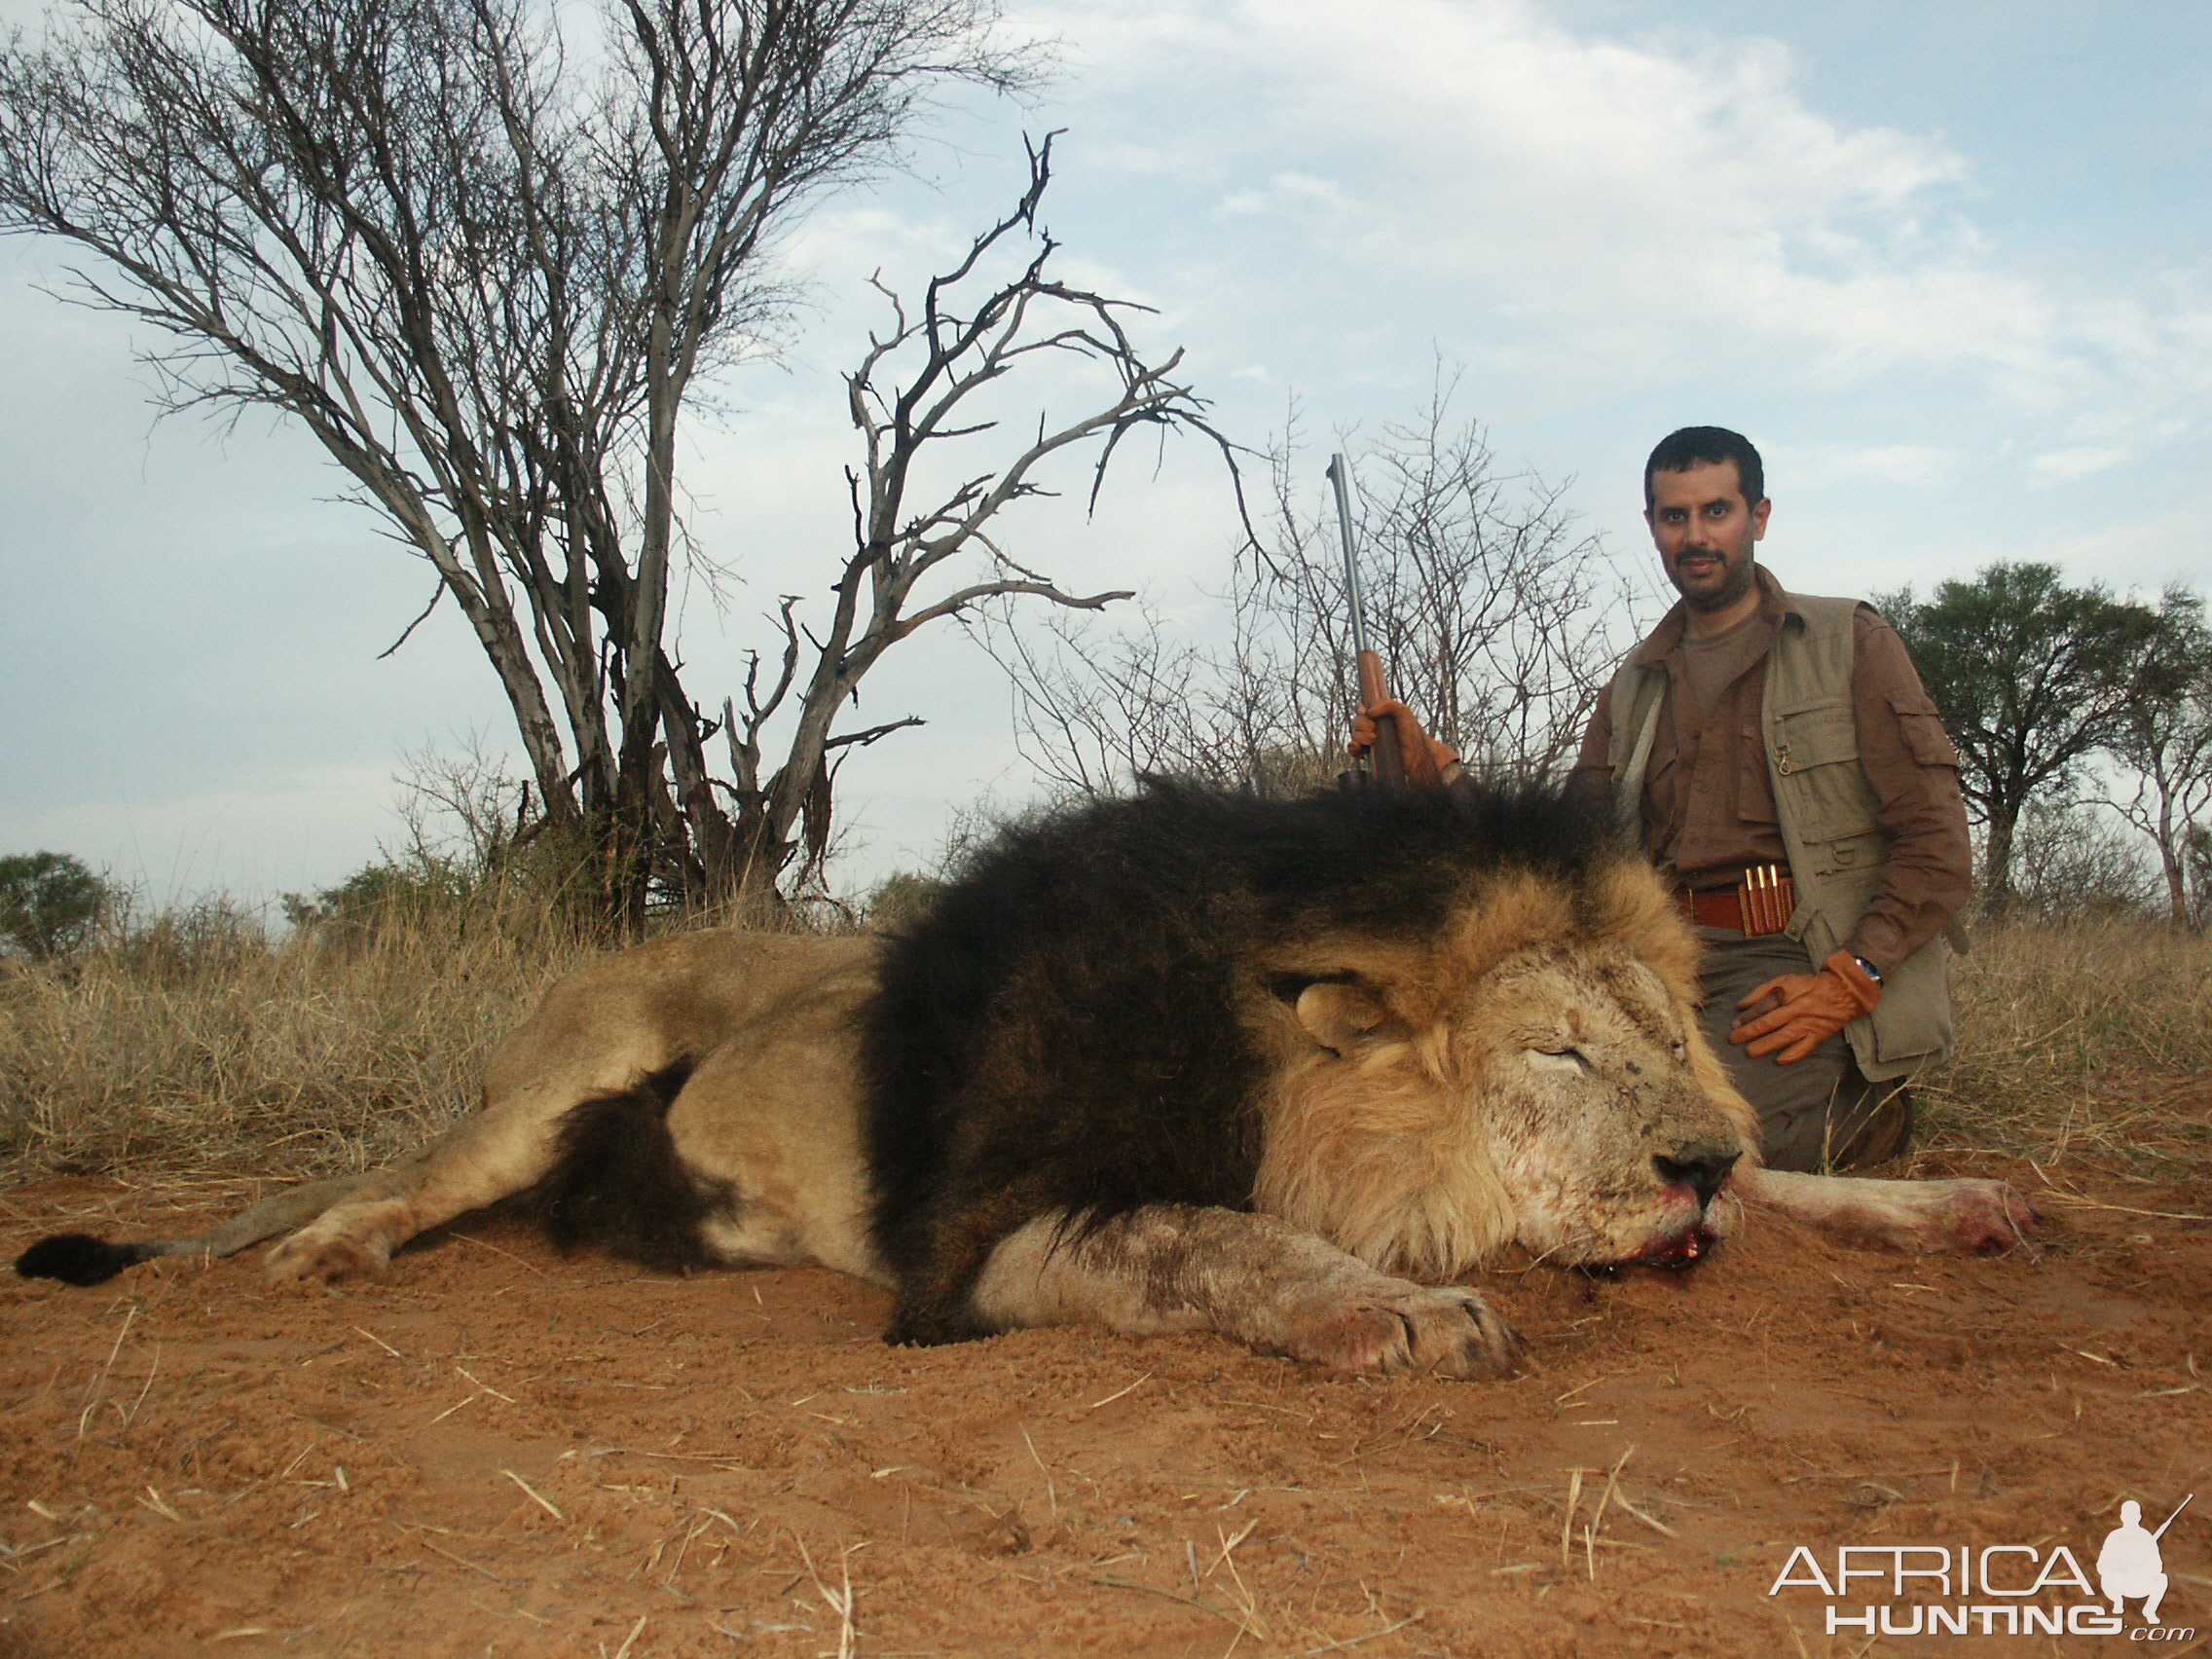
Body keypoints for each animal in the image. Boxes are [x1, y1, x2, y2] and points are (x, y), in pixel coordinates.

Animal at [17, 778, 2026, 1380]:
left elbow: (1807, 1183)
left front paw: (1949, 1196)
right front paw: (1400, 1308)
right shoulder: (981, 1245)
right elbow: (1208, 1234)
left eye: (1671, 1039)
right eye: (1553, 1046)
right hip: (557, 1068)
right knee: (392, 1182)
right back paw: (324, 1254)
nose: (1686, 1162)